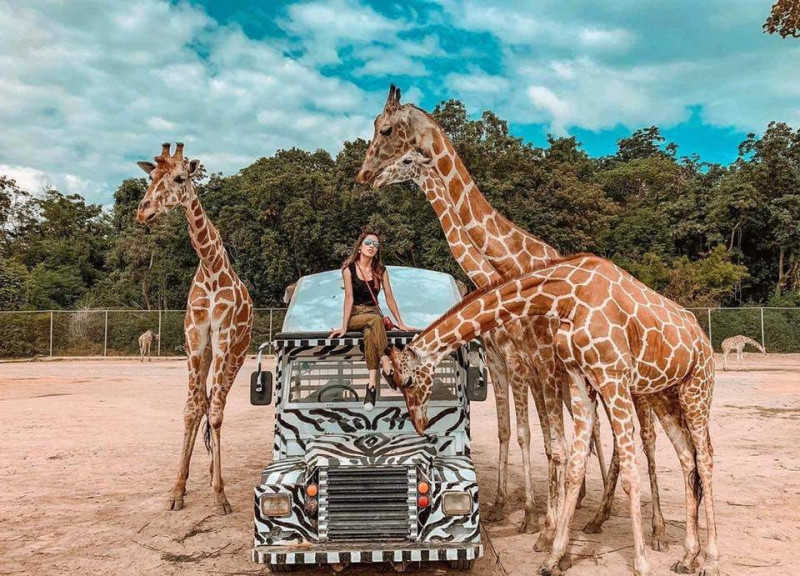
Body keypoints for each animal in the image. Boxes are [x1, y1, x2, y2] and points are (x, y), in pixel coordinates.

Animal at [134, 143, 253, 512]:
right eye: (151, 177)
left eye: (179, 177)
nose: (142, 212)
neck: (211, 265)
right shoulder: (195, 338)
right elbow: (191, 410)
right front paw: (177, 490)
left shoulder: (223, 337)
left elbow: (214, 412)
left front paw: (220, 494)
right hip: (209, 355)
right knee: (203, 402)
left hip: (237, 354)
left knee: (219, 406)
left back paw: (216, 477)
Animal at [360, 86, 664, 548]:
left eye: (388, 130)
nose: (365, 176)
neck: (507, 266)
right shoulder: (508, 363)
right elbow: (518, 433)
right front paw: (513, 510)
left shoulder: (537, 364)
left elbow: (547, 440)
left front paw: (540, 523)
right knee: (602, 434)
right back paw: (594, 511)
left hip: (631, 383)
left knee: (642, 438)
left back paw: (653, 526)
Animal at [382, 255, 720, 576]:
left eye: (407, 381)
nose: (419, 423)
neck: (566, 296)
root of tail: (702, 336)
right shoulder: (580, 379)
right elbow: (574, 466)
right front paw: (553, 557)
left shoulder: (612, 378)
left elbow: (628, 472)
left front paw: (640, 563)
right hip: (664, 393)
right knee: (687, 458)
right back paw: (688, 557)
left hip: (697, 387)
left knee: (704, 458)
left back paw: (708, 560)